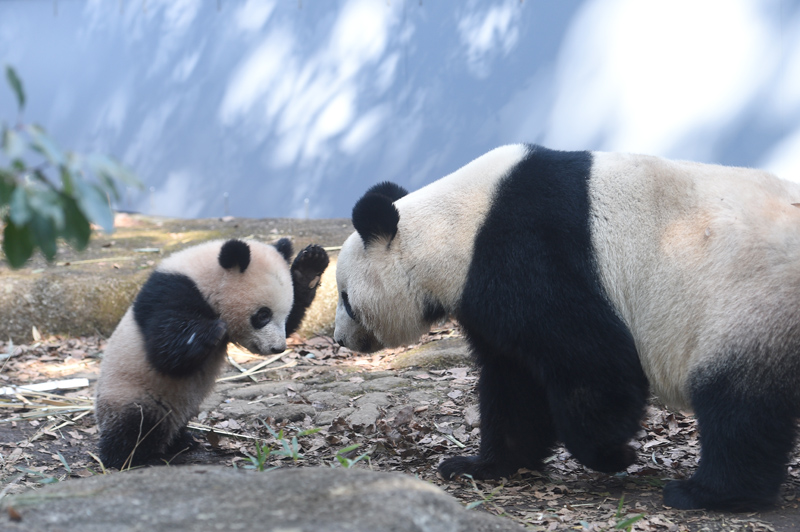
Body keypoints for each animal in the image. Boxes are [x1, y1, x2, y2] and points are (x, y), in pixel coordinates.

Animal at [97, 239, 328, 468]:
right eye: (263, 315)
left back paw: (182, 441)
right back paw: (128, 457)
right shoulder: (170, 292)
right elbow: (163, 352)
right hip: (132, 393)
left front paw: (310, 265)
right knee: (133, 426)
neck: (202, 277)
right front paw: (212, 329)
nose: (277, 348)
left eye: (284, 315)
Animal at [334, 144, 800, 512]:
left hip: (749, 305)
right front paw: (480, 466)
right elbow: (515, 384)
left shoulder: (530, 253)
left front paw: (613, 454)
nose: (340, 340)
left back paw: (707, 493)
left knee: (738, 405)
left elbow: (593, 362)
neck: (455, 227)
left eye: (344, 298)